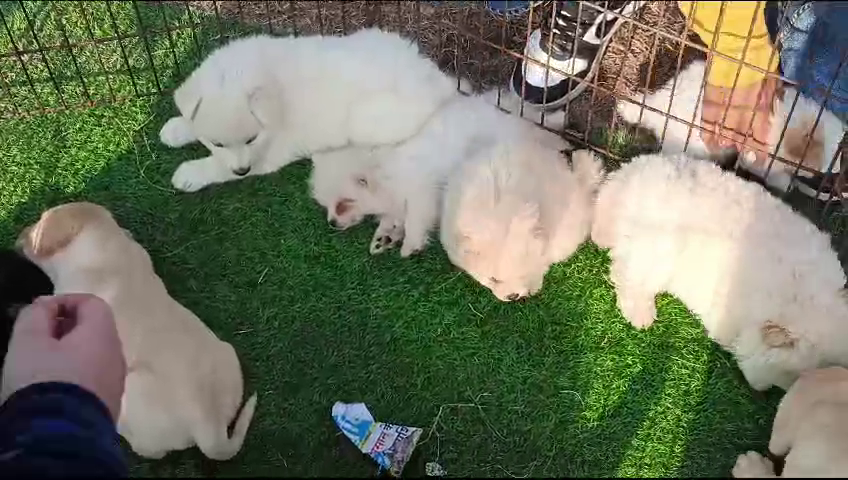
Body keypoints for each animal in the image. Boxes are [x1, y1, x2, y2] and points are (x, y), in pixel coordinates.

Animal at [16, 202, 255, 462]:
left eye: (37, 225)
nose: (20, 235)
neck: (106, 245)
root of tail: (209, 428)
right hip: (227, 353)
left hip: (129, 390)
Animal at [308, 87, 572, 258]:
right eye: (328, 206)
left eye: (344, 204)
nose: (331, 223)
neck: (386, 169)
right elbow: (393, 215)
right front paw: (384, 237)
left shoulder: (422, 191)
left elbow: (415, 217)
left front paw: (410, 244)